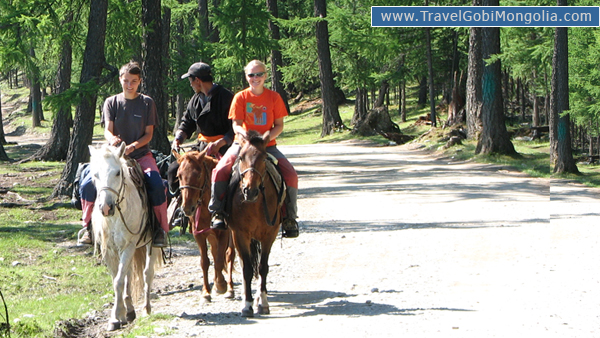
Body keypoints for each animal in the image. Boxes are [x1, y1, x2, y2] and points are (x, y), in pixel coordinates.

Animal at [88, 144, 159, 332]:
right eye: (95, 174)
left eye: (117, 172)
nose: (106, 207)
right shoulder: (109, 250)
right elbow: (117, 279)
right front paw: (119, 315)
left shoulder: (128, 246)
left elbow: (119, 281)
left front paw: (115, 316)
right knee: (129, 274)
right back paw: (130, 310)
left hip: (152, 244)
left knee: (147, 273)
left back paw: (146, 309)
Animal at [172, 151, 236, 302]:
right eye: (179, 176)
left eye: (198, 175)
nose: (187, 208)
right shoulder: (199, 235)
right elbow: (205, 262)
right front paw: (206, 291)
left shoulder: (223, 233)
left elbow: (219, 260)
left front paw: (221, 285)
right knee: (215, 252)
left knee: (229, 255)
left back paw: (230, 288)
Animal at [227, 130, 288, 316]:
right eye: (241, 157)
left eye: (263, 158)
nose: (250, 190)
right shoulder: (240, 234)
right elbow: (247, 269)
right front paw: (247, 304)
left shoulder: (269, 234)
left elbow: (263, 267)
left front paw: (263, 302)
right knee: (241, 262)